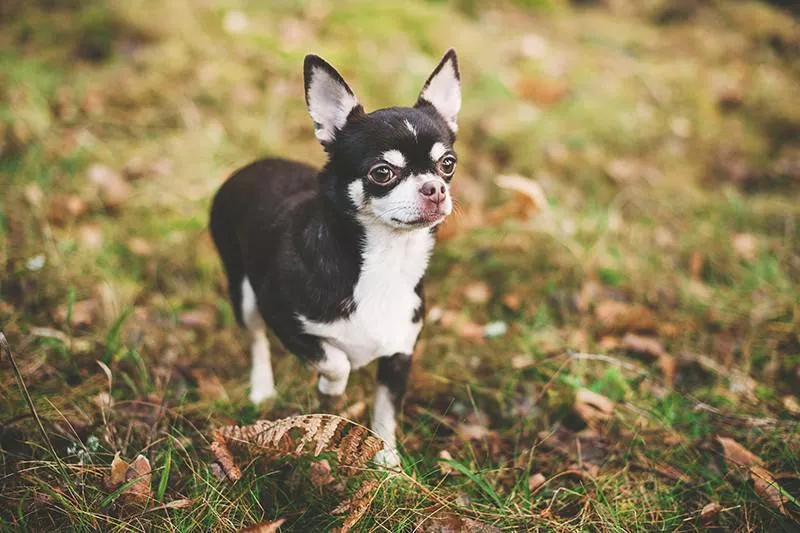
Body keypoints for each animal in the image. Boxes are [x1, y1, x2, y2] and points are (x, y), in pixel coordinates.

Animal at [211, 50, 462, 466]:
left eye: (448, 164)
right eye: (382, 172)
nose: (435, 189)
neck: (386, 261)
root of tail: (252, 166)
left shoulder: (400, 354)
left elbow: (385, 413)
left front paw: (388, 464)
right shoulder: (286, 320)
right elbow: (335, 360)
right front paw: (331, 389)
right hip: (243, 292)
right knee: (256, 340)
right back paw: (262, 389)